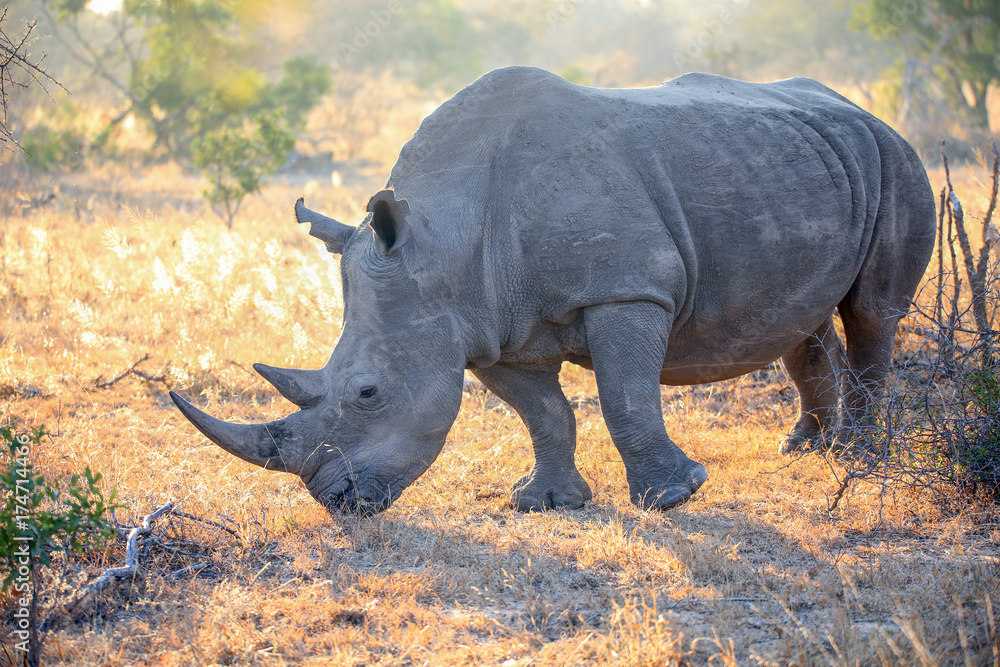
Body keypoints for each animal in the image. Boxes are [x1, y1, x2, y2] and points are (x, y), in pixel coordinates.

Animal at [170, 67, 935, 513]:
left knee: (872, 313)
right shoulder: (487, 327)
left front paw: (672, 497)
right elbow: (545, 414)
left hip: (897, 158)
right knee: (803, 319)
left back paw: (861, 461)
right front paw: (543, 502)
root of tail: (864, 110)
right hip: (803, 162)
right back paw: (805, 449)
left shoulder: (626, 289)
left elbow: (625, 398)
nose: (335, 499)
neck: (443, 242)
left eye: (368, 393)